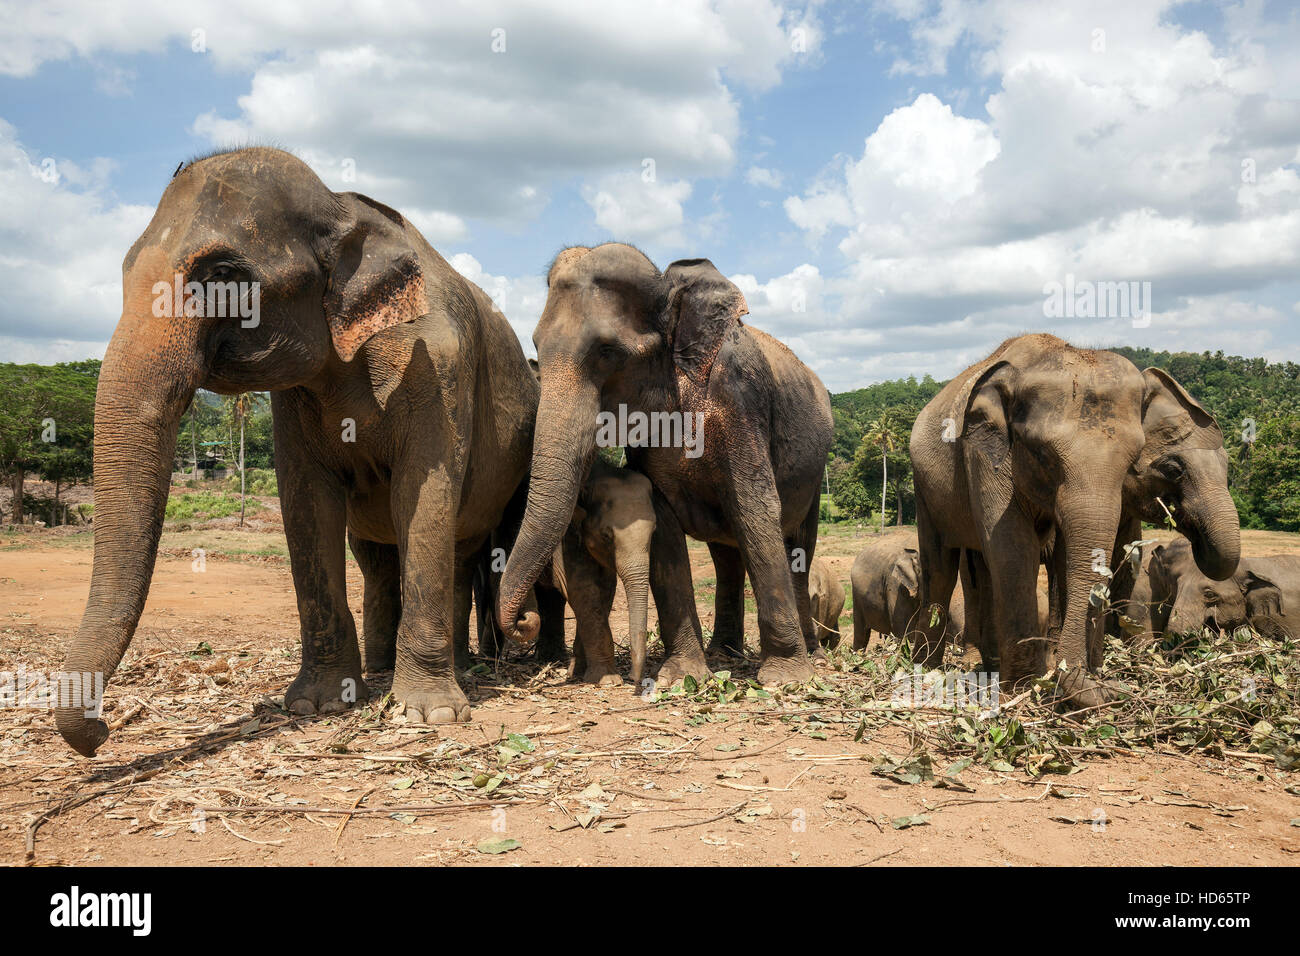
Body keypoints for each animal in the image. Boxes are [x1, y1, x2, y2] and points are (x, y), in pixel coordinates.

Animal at [53, 147, 540, 754]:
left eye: (223, 276)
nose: (100, 732)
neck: (341, 207)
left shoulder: (436, 365)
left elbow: (423, 495)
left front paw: (431, 715)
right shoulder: (294, 397)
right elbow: (307, 503)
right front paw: (320, 703)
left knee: (460, 548)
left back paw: (454, 669)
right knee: (380, 559)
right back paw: (383, 670)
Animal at [496, 239, 832, 686]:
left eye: (608, 352)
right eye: (535, 346)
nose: (522, 620)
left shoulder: (742, 401)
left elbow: (756, 509)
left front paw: (786, 678)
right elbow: (666, 527)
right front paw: (683, 675)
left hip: (816, 472)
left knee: (798, 547)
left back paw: (811, 653)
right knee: (726, 555)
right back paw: (723, 652)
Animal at [909, 332, 1232, 707]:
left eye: (1132, 459)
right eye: (1043, 453)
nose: (1107, 690)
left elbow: (1069, 556)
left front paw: (1068, 677)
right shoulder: (984, 452)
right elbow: (1014, 548)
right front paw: (1024, 690)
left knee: (980, 568)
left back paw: (986, 663)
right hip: (924, 488)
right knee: (941, 567)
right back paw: (928, 670)